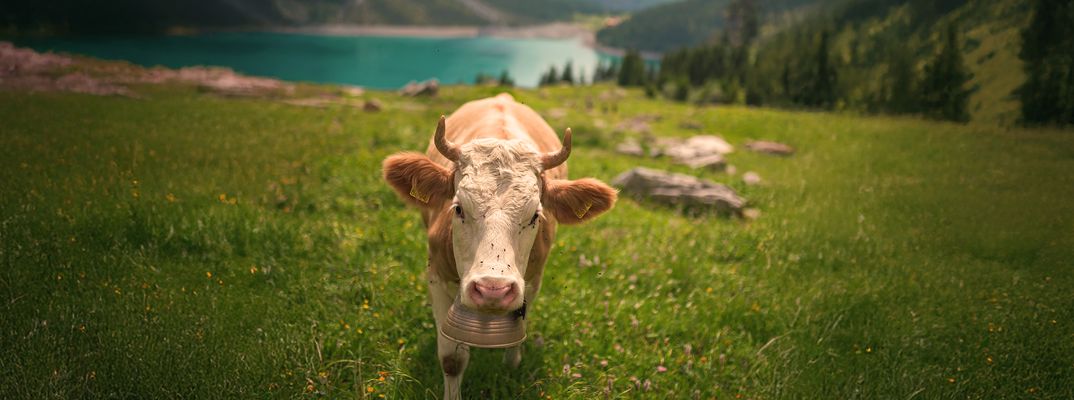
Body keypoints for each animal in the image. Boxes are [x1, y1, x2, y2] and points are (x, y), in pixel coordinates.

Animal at [382, 93, 617, 399]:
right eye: (458, 208)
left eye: (535, 215)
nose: (492, 289)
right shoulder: (436, 276)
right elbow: (452, 358)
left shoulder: (533, 281)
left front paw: (512, 362)